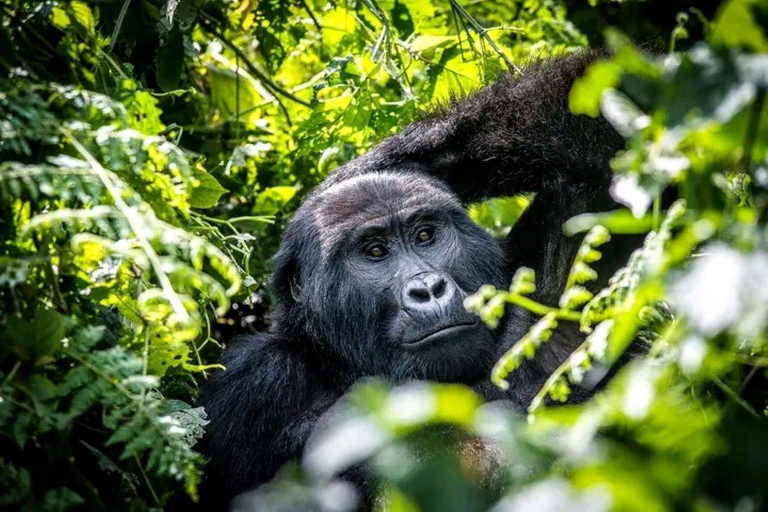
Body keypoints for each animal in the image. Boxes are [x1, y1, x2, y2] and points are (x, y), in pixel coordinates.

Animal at [198, 50, 636, 506]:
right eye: (375, 252)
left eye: (425, 235)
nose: (427, 288)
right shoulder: (251, 385)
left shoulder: (544, 282)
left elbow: (592, 127)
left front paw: (367, 169)